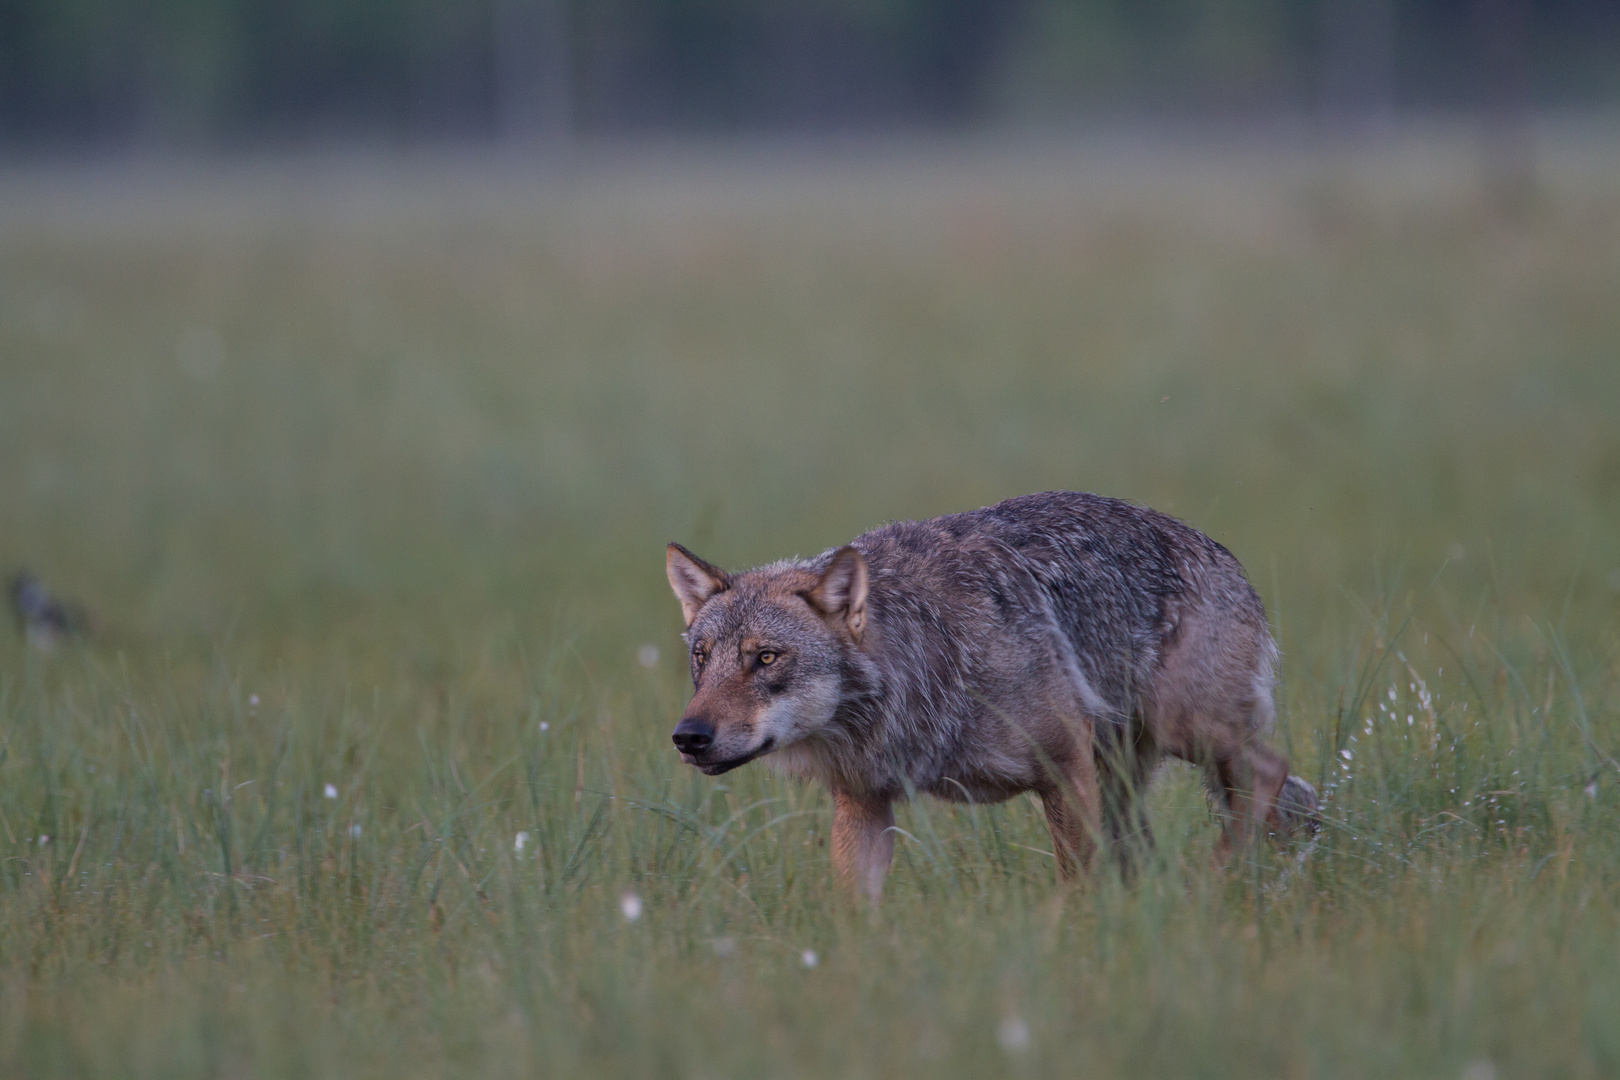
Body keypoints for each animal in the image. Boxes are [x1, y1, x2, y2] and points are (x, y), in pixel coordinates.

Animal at [667, 495, 1315, 900]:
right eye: (702, 660)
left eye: (765, 658)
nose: (688, 738)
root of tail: (1225, 555)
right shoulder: (863, 803)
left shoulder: (1064, 769)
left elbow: (1076, 888)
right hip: (1124, 782)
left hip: (1179, 734)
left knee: (1271, 773)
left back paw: (1208, 885)